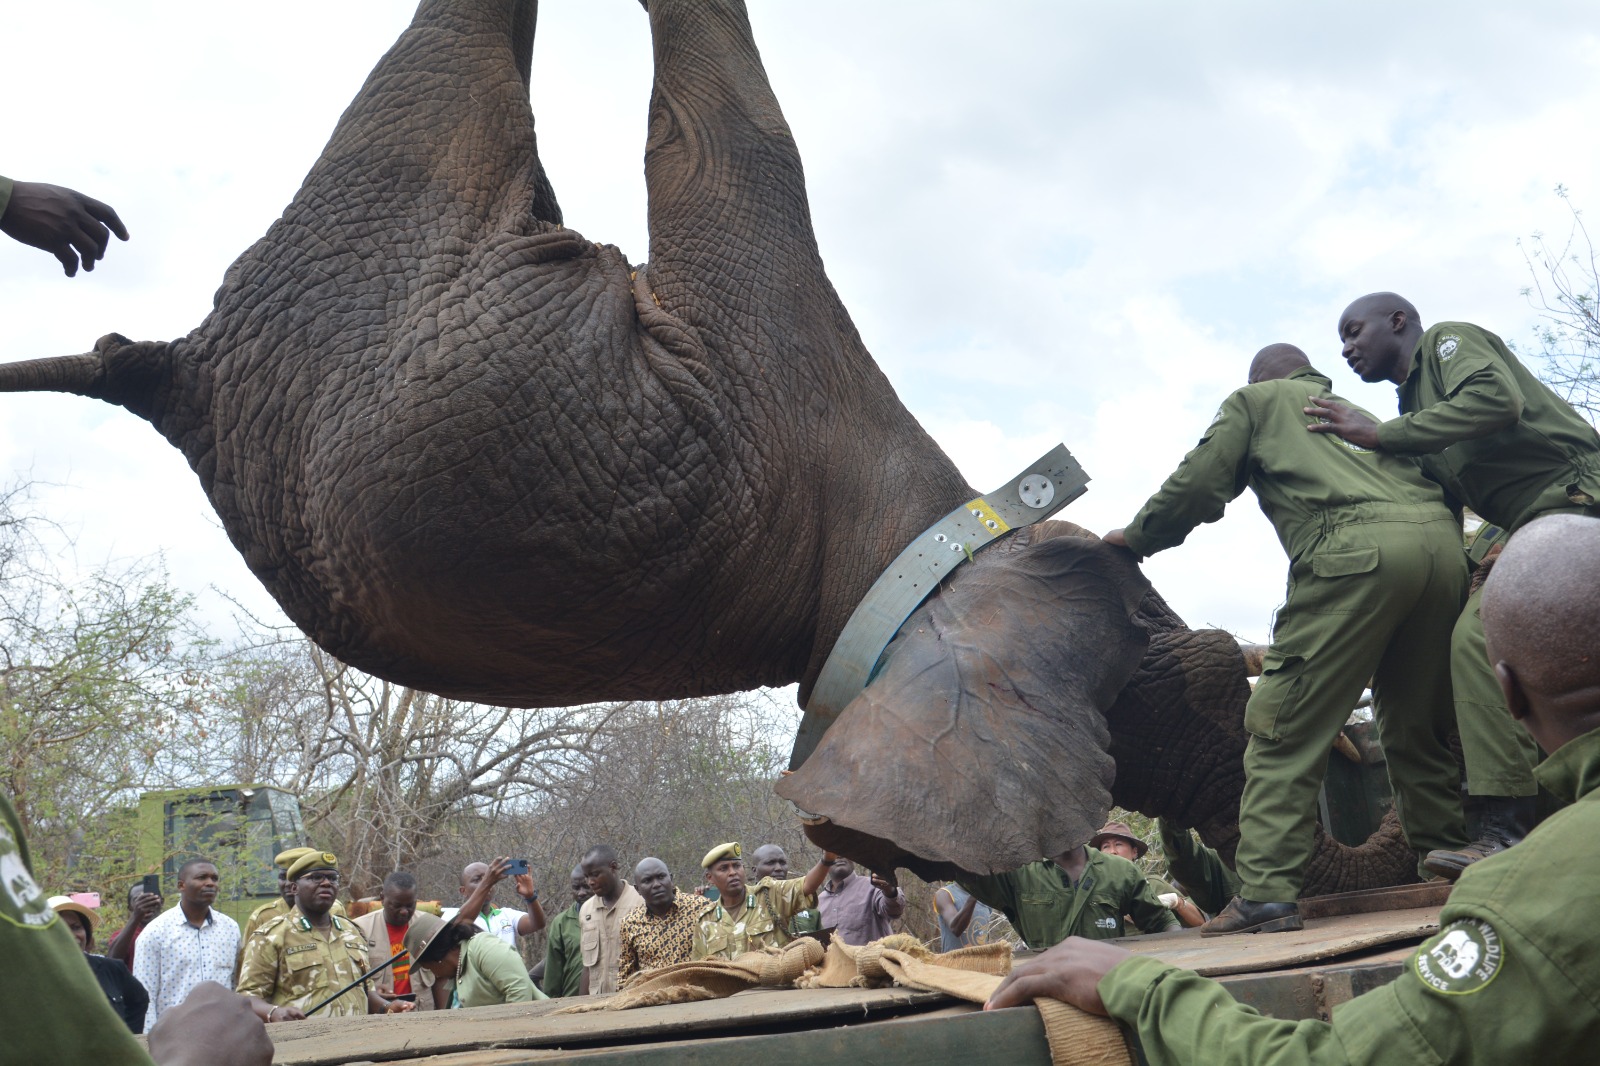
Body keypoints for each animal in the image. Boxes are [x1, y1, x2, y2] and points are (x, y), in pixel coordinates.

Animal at [6, 0, 1420, 883]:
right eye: (1201, 665)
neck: (922, 539)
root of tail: (186, 371)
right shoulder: (777, 336)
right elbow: (734, 130)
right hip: (409, 155)